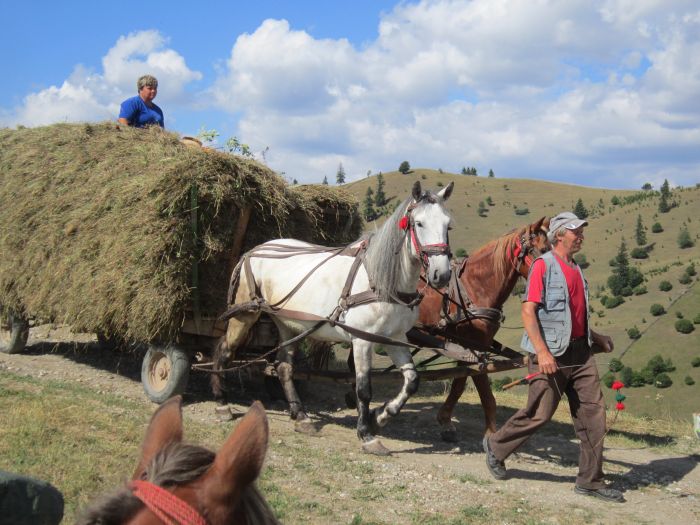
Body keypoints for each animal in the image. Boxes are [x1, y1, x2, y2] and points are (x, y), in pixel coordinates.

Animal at [213, 181, 454, 454]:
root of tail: (254, 250)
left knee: (284, 367)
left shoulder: (395, 338)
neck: (381, 282)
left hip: (288, 324)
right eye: (419, 223)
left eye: (448, 225)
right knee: (224, 351)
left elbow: (412, 380)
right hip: (245, 314)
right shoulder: (362, 341)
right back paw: (222, 404)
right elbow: (363, 389)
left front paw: (381, 416)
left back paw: (301, 416)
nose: (442, 274)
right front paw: (366, 434)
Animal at [416, 215, 552, 440]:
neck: (475, 287)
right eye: (541, 250)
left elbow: (459, 384)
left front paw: (445, 421)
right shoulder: (475, 346)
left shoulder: (468, 347)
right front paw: (491, 433)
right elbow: (485, 392)